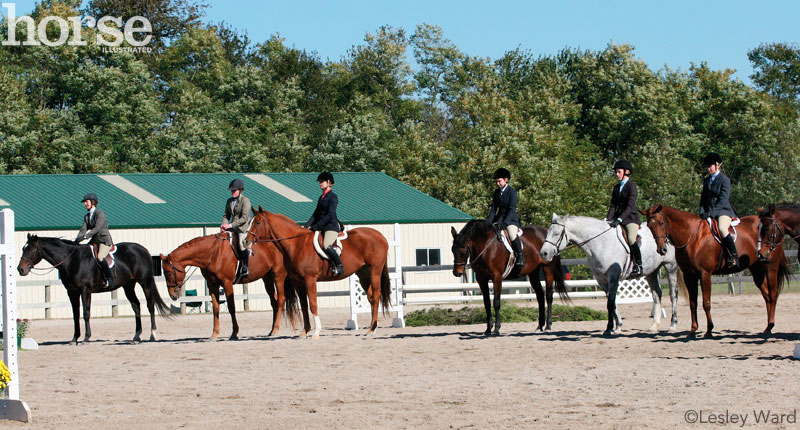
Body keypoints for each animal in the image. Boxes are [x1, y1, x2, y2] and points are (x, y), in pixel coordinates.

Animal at [17, 233, 171, 344]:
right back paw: (136, 336)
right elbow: (75, 315)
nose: (21, 269)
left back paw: (152, 334)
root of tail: (142, 249)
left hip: (145, 282)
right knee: (136, 306)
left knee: (150, 305)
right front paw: (74, 339)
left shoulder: (85, 290)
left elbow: (86, 313)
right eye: (23, 248)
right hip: (128, 285)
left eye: (30, 249)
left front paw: (86, 337)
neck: (72, 260)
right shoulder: (72, 292)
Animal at [159, 232, 300, 340]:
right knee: (274, 302)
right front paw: (214, 334)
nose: (172, 295)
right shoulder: (212, 285)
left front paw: (234, 333)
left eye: (168, 272)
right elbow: (216, 308)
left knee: (281, 300)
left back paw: (275, 330)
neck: (213, 254)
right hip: (267, 278)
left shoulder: (227, 283)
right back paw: (271, 330)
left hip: (278, 276)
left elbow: (232, 308)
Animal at [245, 207, 392, 338]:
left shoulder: (310, 279)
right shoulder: (298, 282)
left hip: (375, 272)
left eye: (258, 222)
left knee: (377, 296)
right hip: (363, 274)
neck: (296, 244)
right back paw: (371, 329)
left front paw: (316, 333)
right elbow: (304, 306)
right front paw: (305, 332)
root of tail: (381, 236)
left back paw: (372, 329)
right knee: (371, 298)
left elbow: (313, 304)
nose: (246, 241)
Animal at [536, 214, 680, 336]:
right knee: (657, 295)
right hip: (651, 271)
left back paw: (673, 325)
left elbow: (610, 303)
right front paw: (618, 326)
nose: (543, 253)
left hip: (670, 266)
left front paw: (609, 328)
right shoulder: (601, 280)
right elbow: (612, 302)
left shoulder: (613, 277)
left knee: (673, 294)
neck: (600, 242)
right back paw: (654, 326)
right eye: (548, 232)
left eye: (556, 233)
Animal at [640, 203, 792, 338]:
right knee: (766, 295)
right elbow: (693, 303)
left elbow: (706, 303)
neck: (692, 236)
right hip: (757, 269)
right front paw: (693, 330)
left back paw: (771, 326)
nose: (662, 250)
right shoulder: (690, 276)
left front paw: (709, 330)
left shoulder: (705, 274)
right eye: (650, 226)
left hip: (770, 267)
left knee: (773, 294)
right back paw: (767, 328)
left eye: (661, 223)